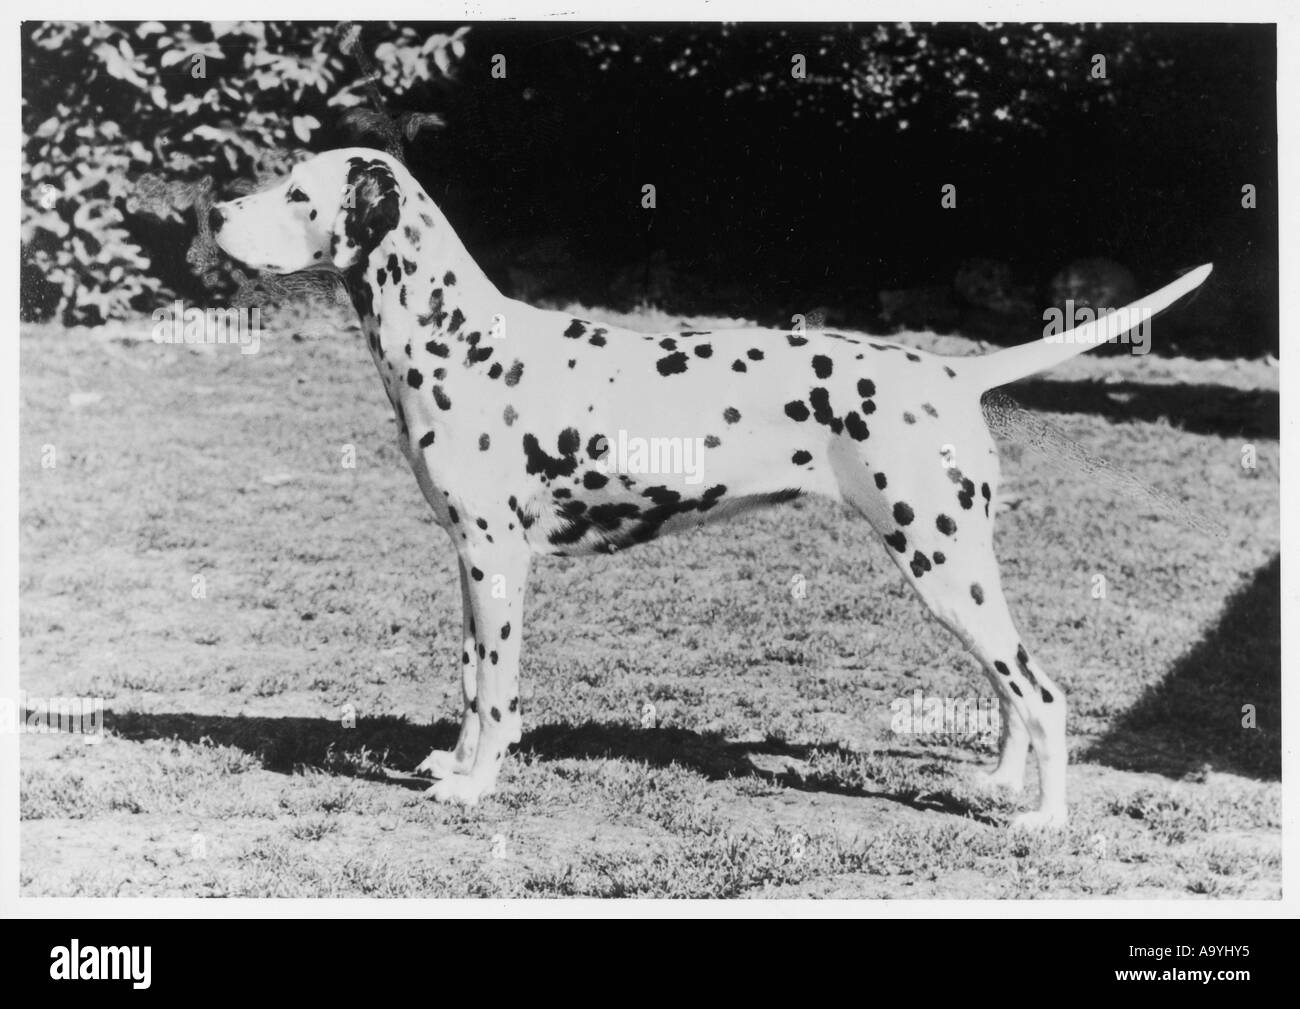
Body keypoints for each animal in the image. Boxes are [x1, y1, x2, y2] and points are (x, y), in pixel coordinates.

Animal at [208, 149, 1211, 826]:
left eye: (297, 193)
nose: (214, 210)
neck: (465, 337)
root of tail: (950, 370)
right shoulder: (471, 563)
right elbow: (466, 682)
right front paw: (454, 768)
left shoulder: (497, 561)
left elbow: (494, 693)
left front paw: (477, 784)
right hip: (954, 575)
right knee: (1012, 690)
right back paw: (1000, 783)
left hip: (944, 567)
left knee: (1041, 691)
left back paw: (1042, 817)